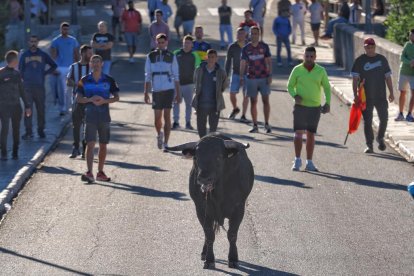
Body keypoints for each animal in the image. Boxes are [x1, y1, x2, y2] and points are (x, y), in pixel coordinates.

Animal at [167, 134, 254, 270]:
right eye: (196, 157)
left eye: (218, 157)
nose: (203, 178)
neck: (218, 194)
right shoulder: (202, 210)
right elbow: (209, 235)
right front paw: (209, 259)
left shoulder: (239, 209)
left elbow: (232, 234)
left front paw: (233, 259)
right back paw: (204, 252)